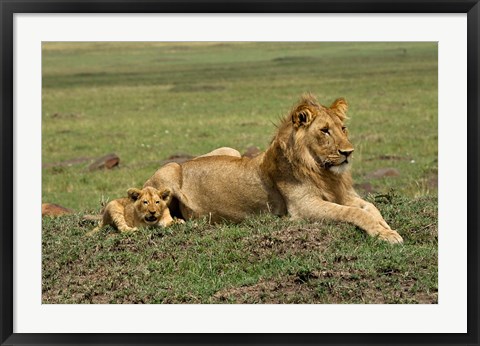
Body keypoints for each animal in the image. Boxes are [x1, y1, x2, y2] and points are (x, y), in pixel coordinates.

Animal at [144, 92, 404, 243]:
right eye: (324, 131)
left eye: (343, 128)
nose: (348, 152)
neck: (322, 172)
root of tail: (186, 162)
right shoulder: (304, 207)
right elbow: (353, 213)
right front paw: (386, 234)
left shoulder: (344, 194)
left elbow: (370, 208)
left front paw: (386, 228)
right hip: (169, 169)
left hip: (230, 150)